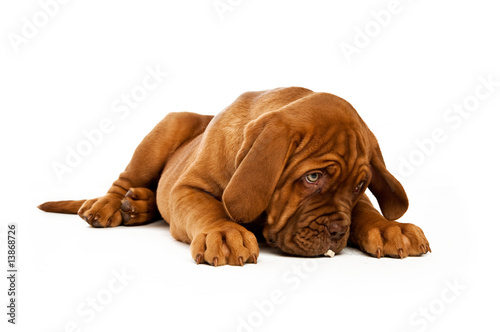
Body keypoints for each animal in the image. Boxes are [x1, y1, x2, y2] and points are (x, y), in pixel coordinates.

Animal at [39, 87, 430, 266]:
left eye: (361, 185)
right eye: (313, 177)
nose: (338, 233)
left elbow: (364, 210)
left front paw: (388, 227)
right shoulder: (187, 188)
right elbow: (208, 209)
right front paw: (225, 233)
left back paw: (137, 205)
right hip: (167, 128)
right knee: (123, 179)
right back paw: (109, 206)